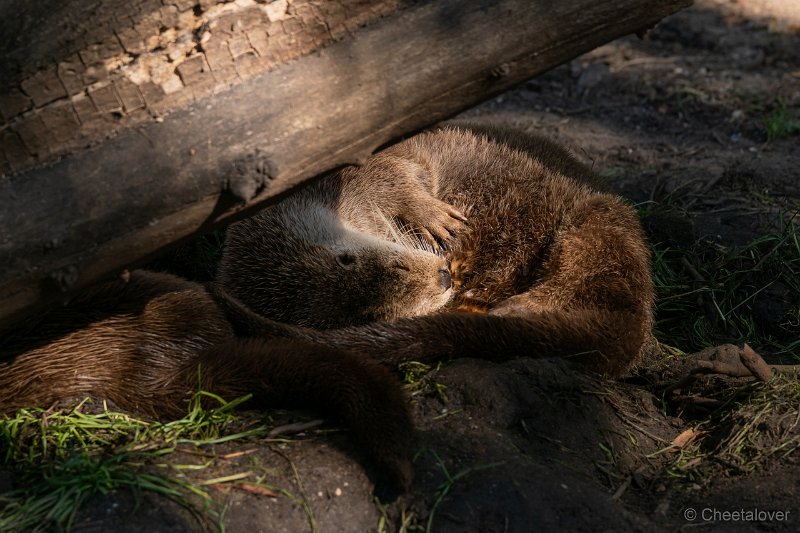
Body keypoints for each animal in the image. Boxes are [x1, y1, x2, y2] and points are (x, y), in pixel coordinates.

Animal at [216, 122, 652, 376]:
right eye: (372, 316)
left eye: (350, 258)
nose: (444, 278)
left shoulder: (361, 164)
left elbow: (396, 170)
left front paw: (430, 214)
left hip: (602, 219)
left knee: (581, 265)